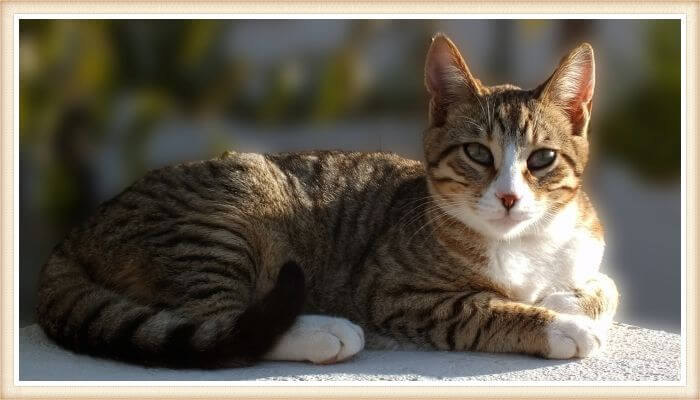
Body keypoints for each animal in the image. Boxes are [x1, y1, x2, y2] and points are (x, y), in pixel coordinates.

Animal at [37, 32, 616, 368]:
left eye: (541, 159)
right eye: (477, 153)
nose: (509, 197)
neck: (525, 244)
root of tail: (76, 234)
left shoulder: (587, 247)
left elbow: (604, 286)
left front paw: (564, 298)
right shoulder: (395, 292)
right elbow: (481, 308)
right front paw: (560, 324)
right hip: (222, 221)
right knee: (222, 325)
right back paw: (324, 332)